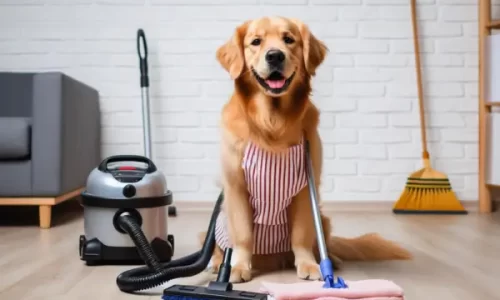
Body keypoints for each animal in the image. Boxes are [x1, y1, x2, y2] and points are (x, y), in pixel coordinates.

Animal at [197, 15, 412, 284]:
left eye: (289, 39)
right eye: (256, 41)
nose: (275, 56)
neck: (272, 122)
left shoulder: (304, 188)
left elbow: (300, 235)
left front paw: (309, 265)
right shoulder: (236, 187)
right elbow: (243, 235)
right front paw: (237, 267)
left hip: (323, 217)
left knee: (322, 244)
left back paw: (331, 260)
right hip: (215, 223)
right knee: (217, 246)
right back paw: (217, 263)